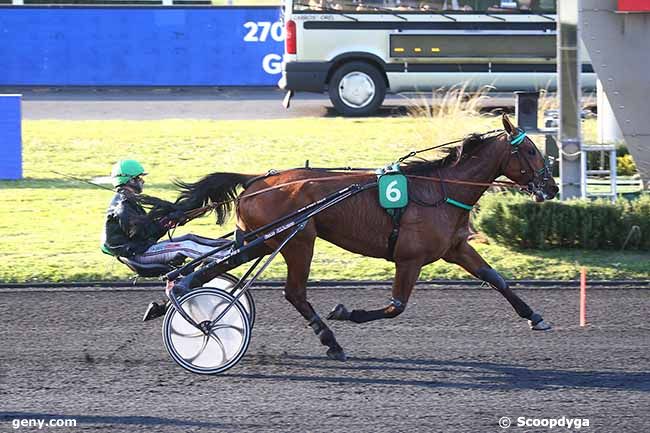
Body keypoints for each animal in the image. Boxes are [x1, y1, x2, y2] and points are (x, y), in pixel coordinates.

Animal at [168, 115, 556, 362]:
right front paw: (346, 312)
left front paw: (535, 316)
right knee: (294, 293)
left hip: (264, 240)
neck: (440, 190)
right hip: (299, 240)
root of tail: (254, 181)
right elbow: (396, 306)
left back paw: (181, 294)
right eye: (531, 151)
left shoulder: (456, 248)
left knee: (211, 273)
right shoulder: (409, 259)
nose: (551, 187)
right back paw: (329, 340)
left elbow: (496, 279)